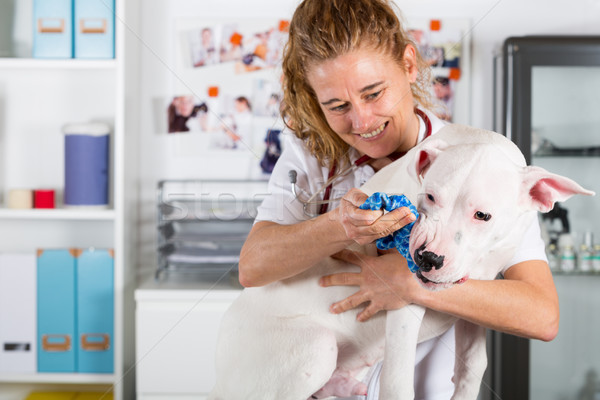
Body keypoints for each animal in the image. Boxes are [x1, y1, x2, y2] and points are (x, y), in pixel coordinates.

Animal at [209, 125, 592, 400]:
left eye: (483, 215)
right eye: (431, 197)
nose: (428, 257)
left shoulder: (478, 299)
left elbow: (473, 363)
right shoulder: (404, 306)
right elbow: (398, 384)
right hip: (311, 350)